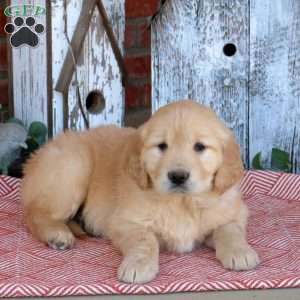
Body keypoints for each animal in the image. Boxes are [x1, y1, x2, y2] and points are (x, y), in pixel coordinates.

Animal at [21, 101, 260, 284]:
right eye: (161, 146)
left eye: (200, 147)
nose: (178, 176)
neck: (182, 202)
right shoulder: (126, 221)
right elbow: (145, 240)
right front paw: (138, 265)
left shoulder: (233, 212)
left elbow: (230, 230)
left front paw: (240, 252)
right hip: (73, 166)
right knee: (35, 213)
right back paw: (57, 235)